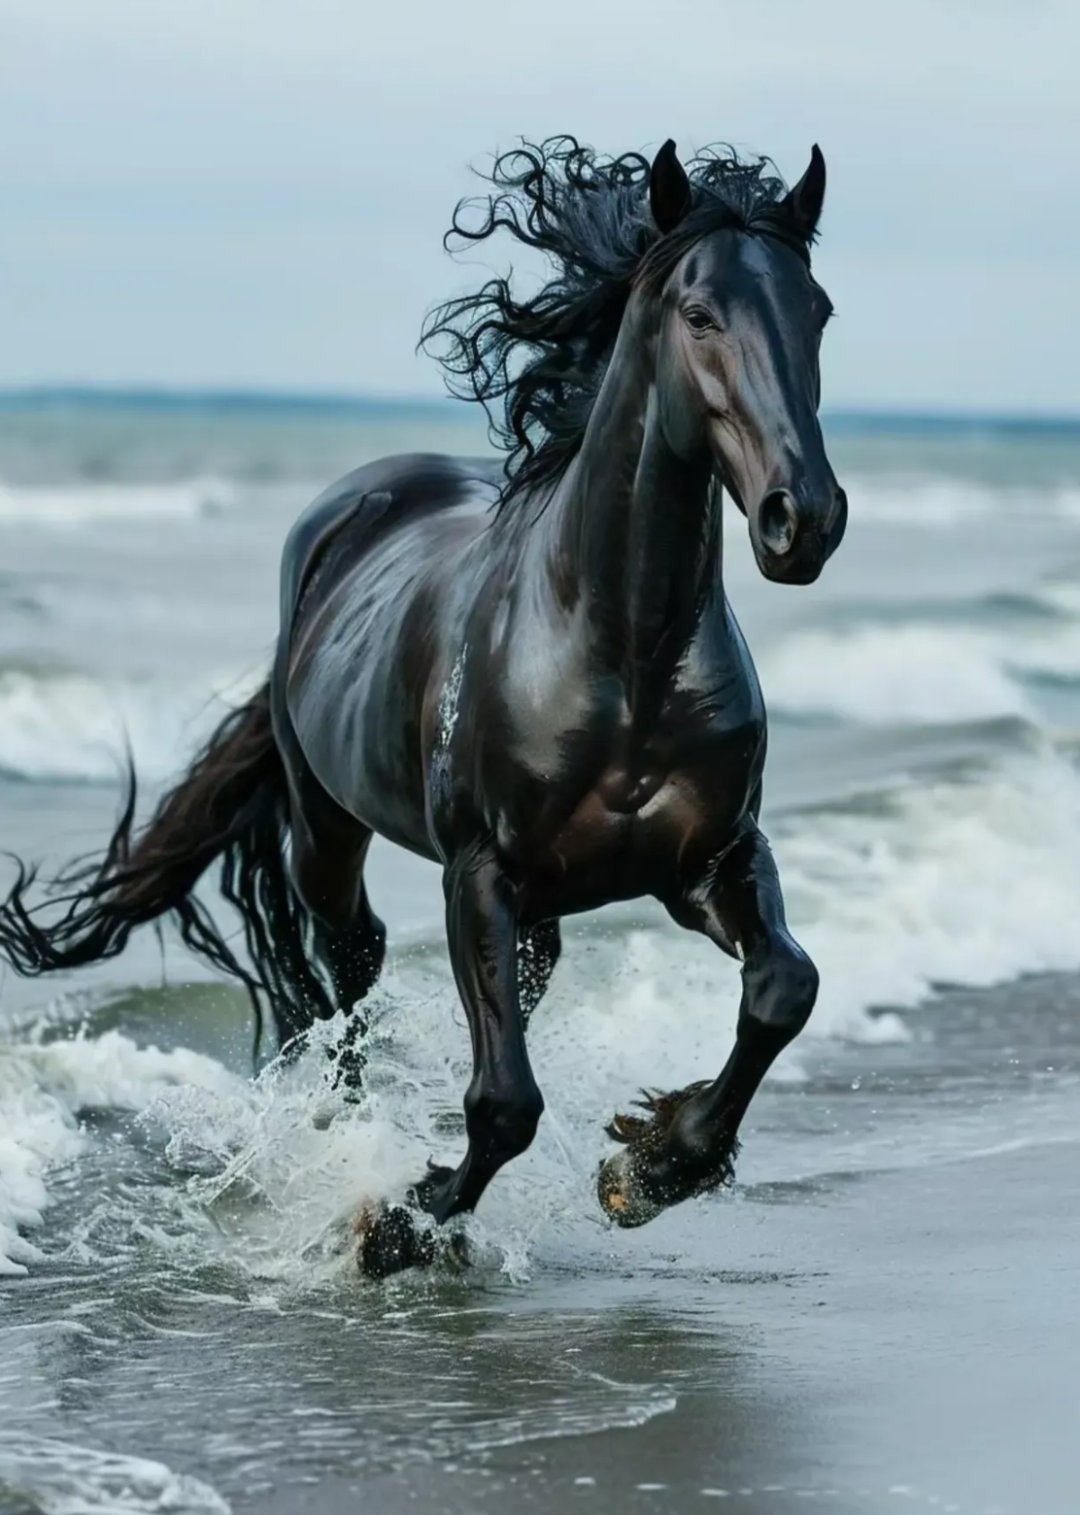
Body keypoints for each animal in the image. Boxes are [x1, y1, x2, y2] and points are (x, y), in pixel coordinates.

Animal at [0, 136, 847, 1277]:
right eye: (702, 313)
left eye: (818, 310)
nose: (803, 520)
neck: (621, 652)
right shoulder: (476, 872)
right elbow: (506, 1100)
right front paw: (397, 1220)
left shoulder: (708, 862)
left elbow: (782, 989)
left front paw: (655, 1164)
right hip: (327, 832)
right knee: (349, 969)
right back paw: (348, 1145)